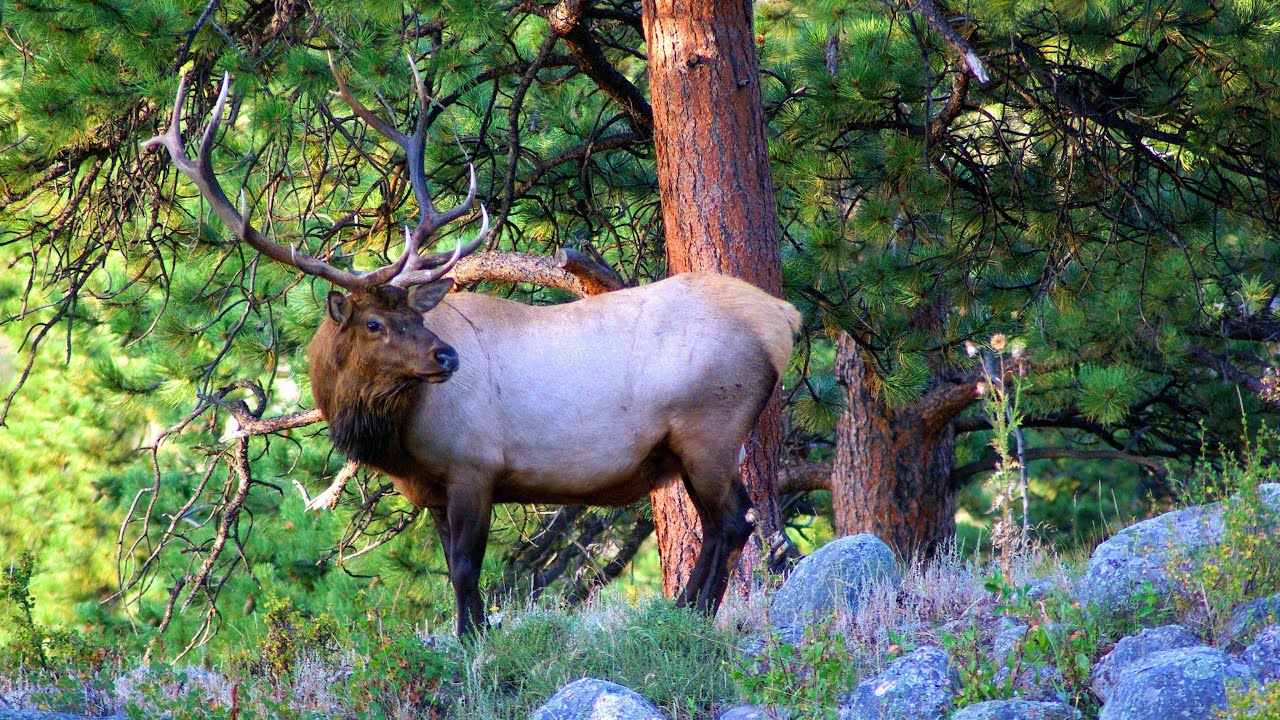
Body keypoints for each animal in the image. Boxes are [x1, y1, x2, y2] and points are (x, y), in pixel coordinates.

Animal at [144, 62, 802, 637]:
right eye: (376, 323)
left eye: (413, 314)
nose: (448, 358)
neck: (399, 436)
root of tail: (782, 319)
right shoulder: (432, 487)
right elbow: (450, 569)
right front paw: (473, 634)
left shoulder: (474, 464)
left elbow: (465, 568)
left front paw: (472, 644)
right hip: (696, 441)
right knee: (727, 525)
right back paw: (684, 611)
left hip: (708, 426)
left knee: (731, 523)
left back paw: (693, 615)